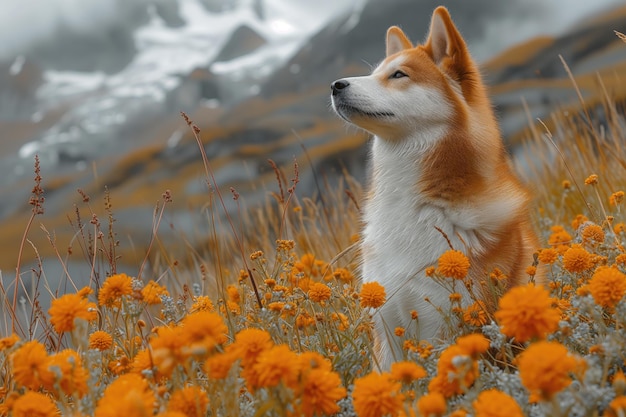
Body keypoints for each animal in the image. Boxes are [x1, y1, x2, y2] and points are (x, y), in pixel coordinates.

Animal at [330, 6, 540, 368]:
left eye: (399, 75)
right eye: (375, 73)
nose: (334, 85)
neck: (417, 207)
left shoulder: (447, 325)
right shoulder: (386, 327)